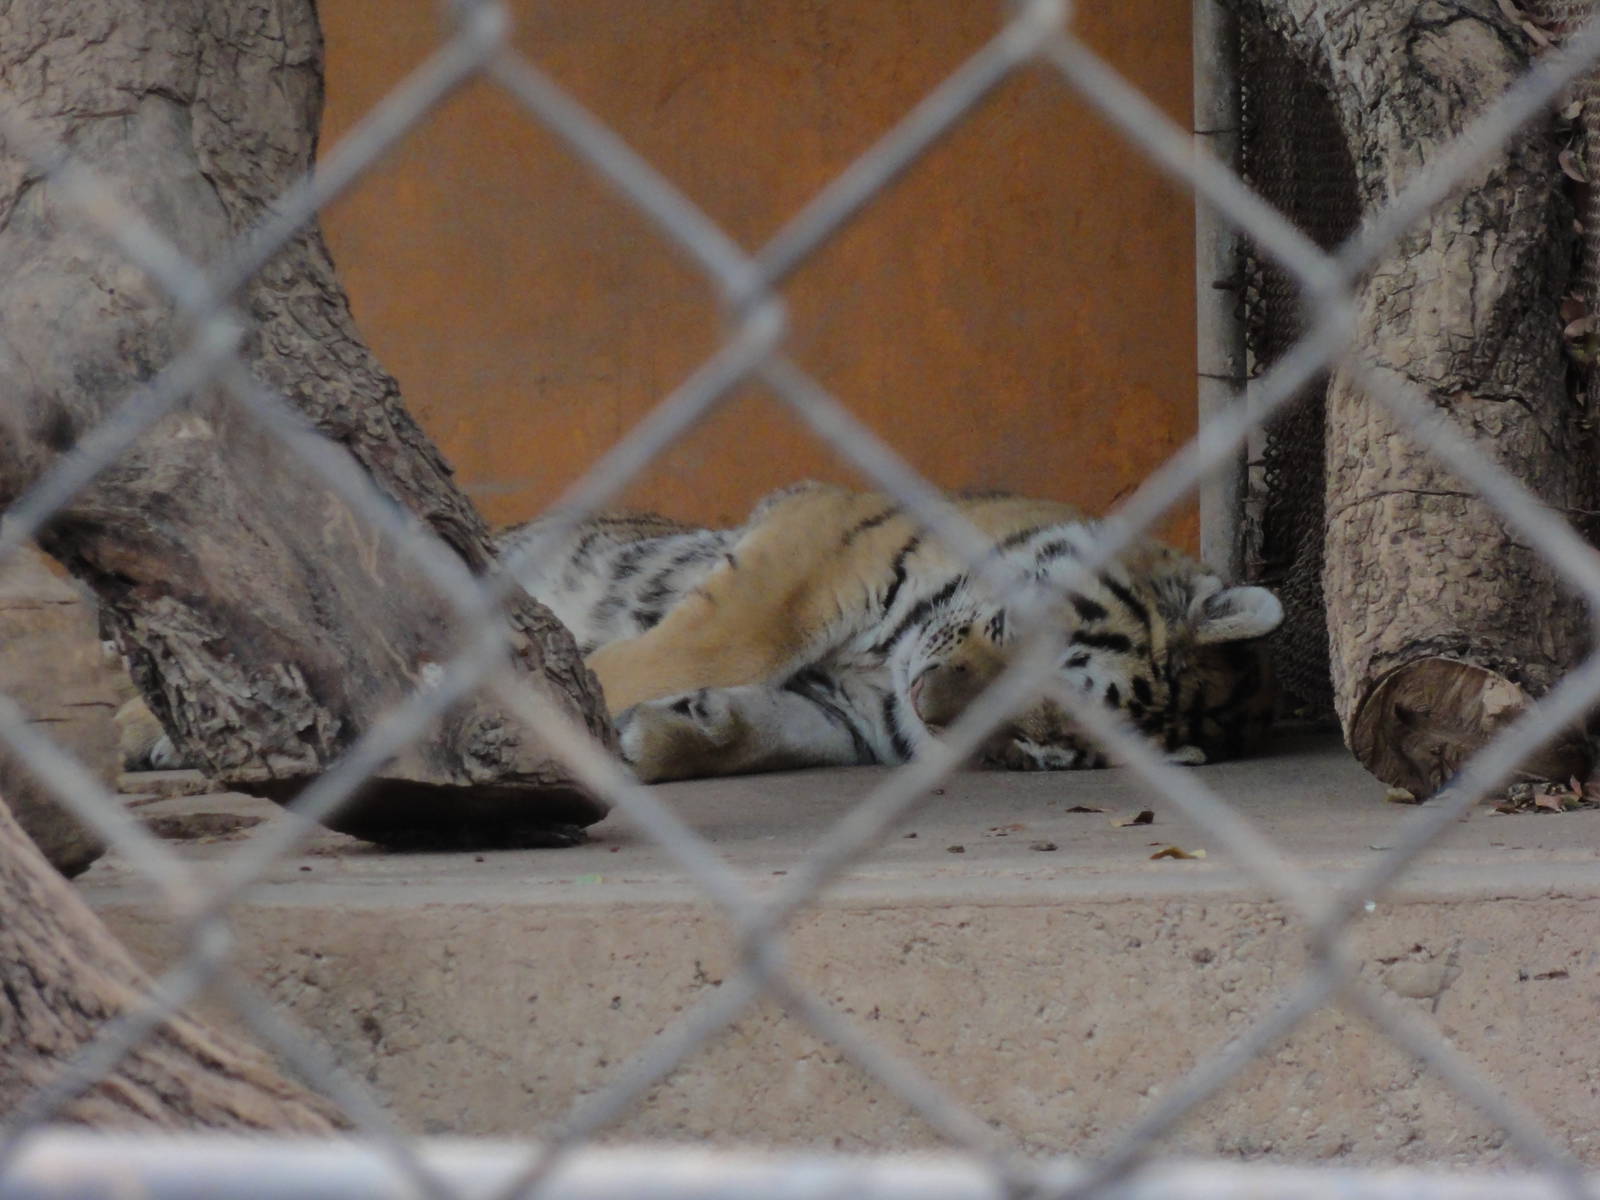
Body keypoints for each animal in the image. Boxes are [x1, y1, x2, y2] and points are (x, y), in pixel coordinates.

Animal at [499, 481, 1282, 784]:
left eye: (1037, 747)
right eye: (1023, 638)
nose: (927, 701)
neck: (885, 665)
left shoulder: (849, 715)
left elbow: (773, 731)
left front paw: (650, 735)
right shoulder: (815, 540)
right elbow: (724, 641)